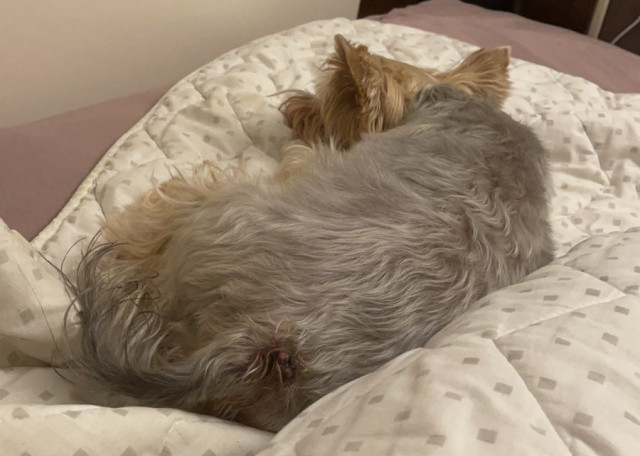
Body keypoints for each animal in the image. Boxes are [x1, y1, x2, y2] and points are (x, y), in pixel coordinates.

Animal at [65, 83, 553, 432]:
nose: (292, 107)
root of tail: (278, 342)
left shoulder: (309, 158)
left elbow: (300, 153)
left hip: (220, 209)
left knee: (166, 215)